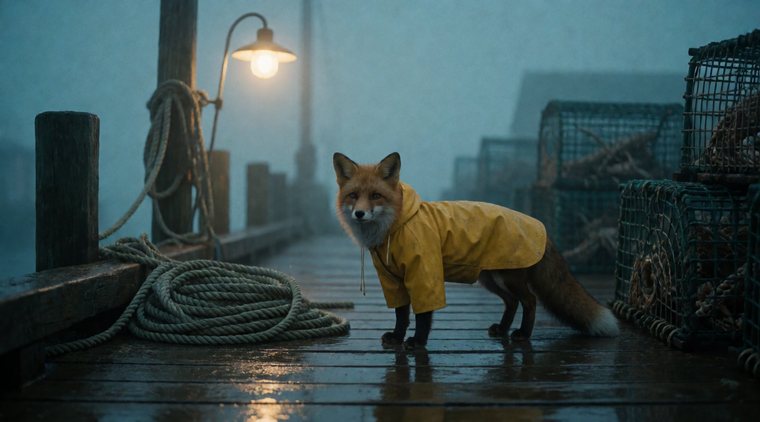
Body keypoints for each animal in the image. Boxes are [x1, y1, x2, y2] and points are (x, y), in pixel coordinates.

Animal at [333, 151, 619, 349]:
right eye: (354, 196)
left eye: (376, 196)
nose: (359, 214)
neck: (395, 226)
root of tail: (541, 227)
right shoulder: (393, 279)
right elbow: (401, 314)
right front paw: (397, 337)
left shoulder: (425, 273)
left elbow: (423, 315)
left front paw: (418, 342)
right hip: (490, 279)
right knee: (512, 302)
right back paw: (502, 329)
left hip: (509, 278)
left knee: (529, 301)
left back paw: (523, 334)